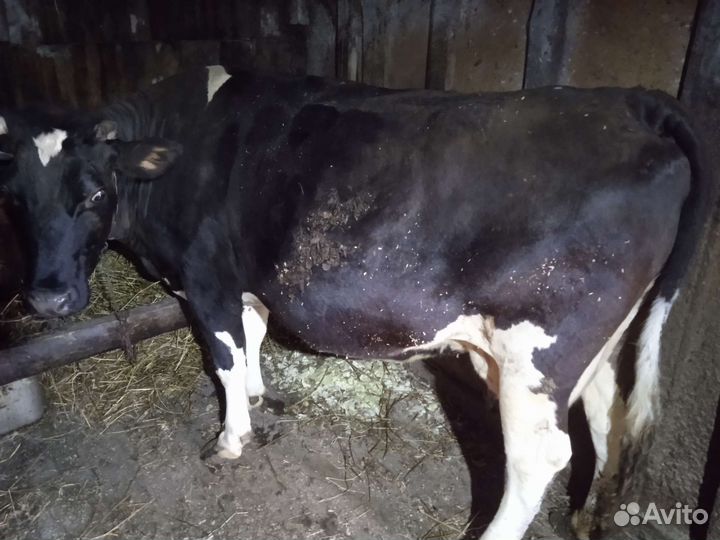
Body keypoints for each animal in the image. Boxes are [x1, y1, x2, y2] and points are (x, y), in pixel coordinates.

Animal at [0, 67, 710, 539]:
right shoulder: (246, 281)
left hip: (537, 350)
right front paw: (261, 396)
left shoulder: (206, 281)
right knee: (605, 412)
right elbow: (254, 336)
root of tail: (632, 103)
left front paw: (231, 436)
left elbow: (225, 358)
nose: (49, 297)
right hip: (594, 343)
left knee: (539, 456)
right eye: (14, 196)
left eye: (96, 193)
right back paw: (587, 515)